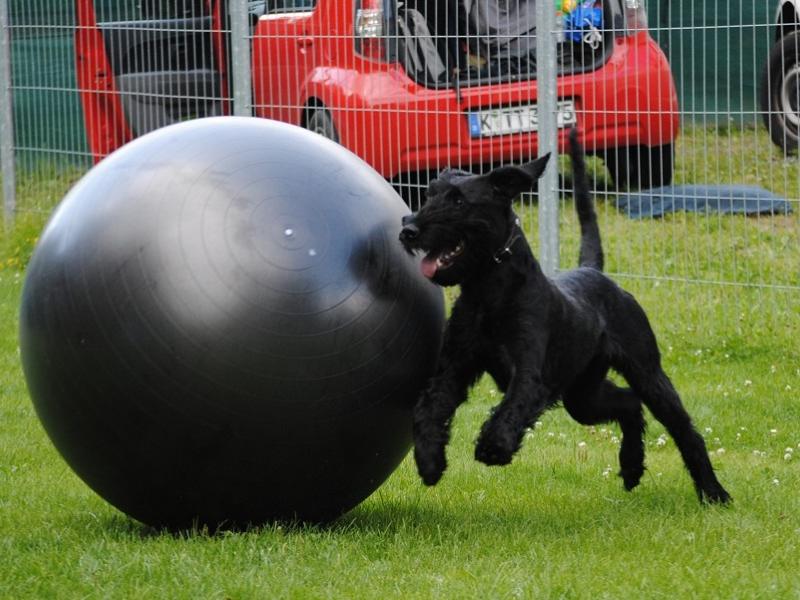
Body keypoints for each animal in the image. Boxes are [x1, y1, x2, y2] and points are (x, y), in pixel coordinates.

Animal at [400, 131, 732, 506]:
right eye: (429, 193)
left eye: (458, 201)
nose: (409, 230)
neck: (489, 289)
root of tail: (594, 271)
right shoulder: (453, 369)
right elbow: (429, 409)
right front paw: (430, 462)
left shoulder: (530, 374)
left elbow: (511, 407)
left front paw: (493, 447)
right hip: (583, 397)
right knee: (628, 404)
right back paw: (631, 467)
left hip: (647, 373)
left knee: (683, 429)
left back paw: (713, 491)